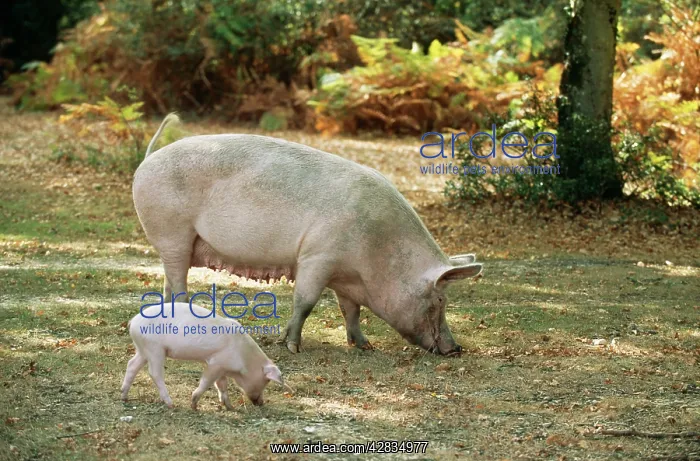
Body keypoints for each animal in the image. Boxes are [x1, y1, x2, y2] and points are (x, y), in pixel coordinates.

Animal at [121, 302, 287, 409]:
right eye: (266, 381)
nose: (261, 403)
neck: (243, 357)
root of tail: (133, 322)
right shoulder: (215, 364)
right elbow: (207, 382)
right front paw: (194, 405)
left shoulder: (222, 368)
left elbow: (222, 385)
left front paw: (229, 407)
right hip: (155, 349)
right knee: (154, 373)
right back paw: (171, 404)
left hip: (143, 349)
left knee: (132, 364)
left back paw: (124, 397)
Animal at [132, 114, 482, 356]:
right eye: (439, 300)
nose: (455, 349)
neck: (377, 257)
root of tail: (147, 159)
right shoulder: (318, 257)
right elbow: (306, 302)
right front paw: (292, 347)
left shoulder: (345, 276)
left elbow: (350, 311)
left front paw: (364, 346)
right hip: (173, 233)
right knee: (178, 286)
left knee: (168, 284)